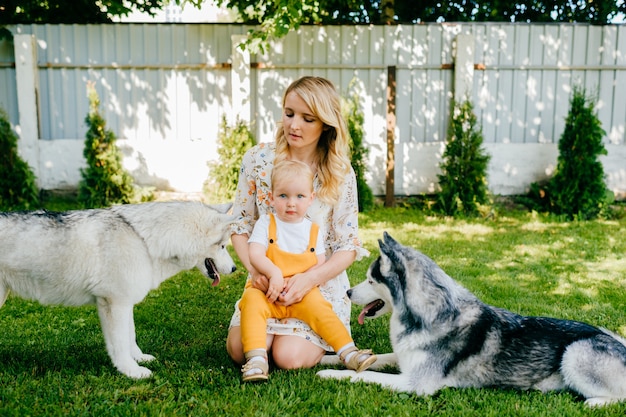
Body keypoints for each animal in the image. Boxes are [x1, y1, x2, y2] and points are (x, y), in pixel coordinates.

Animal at [1, 200, 235, 378]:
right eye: (223, 246)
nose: (234, 268)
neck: (144, 241)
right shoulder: (114, 303)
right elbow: (120, 344)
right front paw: (132, 372)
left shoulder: (125, 304)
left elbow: (130, 337)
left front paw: (139, 359)